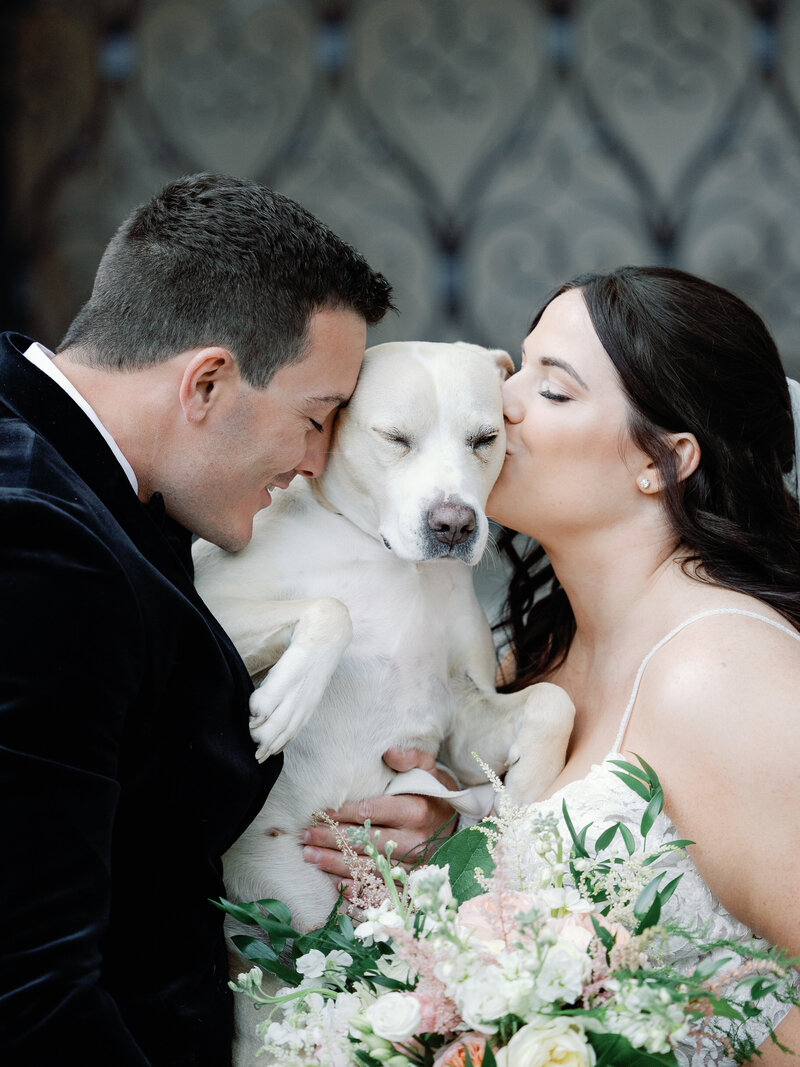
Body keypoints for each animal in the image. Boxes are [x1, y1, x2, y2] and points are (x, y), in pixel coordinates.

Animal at [194, 343, 576, 934]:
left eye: (485, 438)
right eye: (395, 438)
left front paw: (525, 800)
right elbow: (333, 609)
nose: (454, 524)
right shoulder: (207, 595)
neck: (389, 556)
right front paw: (289, 700)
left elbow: (553, 702)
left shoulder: (460, 717)